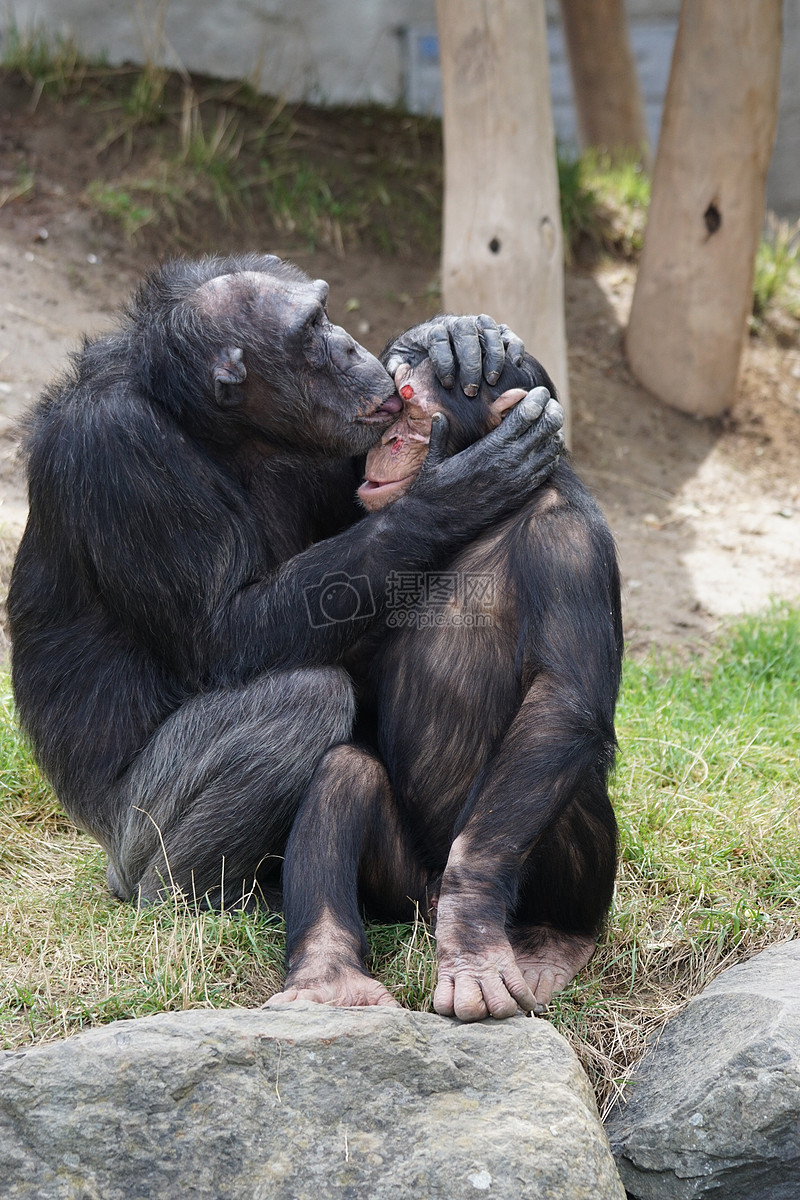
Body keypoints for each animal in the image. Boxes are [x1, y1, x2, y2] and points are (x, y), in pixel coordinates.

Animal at [6, 253, 563, 907]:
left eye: (324, 312)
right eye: (312, 329)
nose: (347, 343)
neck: (216, 430)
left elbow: (356, 499)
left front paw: (453, 337)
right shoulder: (121, 447)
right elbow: (224, 633)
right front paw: (459, 490)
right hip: (134, 825)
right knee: (305, 700)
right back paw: (193, 895)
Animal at [272, 338, 623, 1022]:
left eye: (412, 412)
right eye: (389, 405)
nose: (384, 444)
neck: (501, 512)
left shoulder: (570, 545)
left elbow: (564, 700)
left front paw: (473, 940)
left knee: (565, 780)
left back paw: (552, 941)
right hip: (406, 891)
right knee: (344, 774)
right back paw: (331, 979)